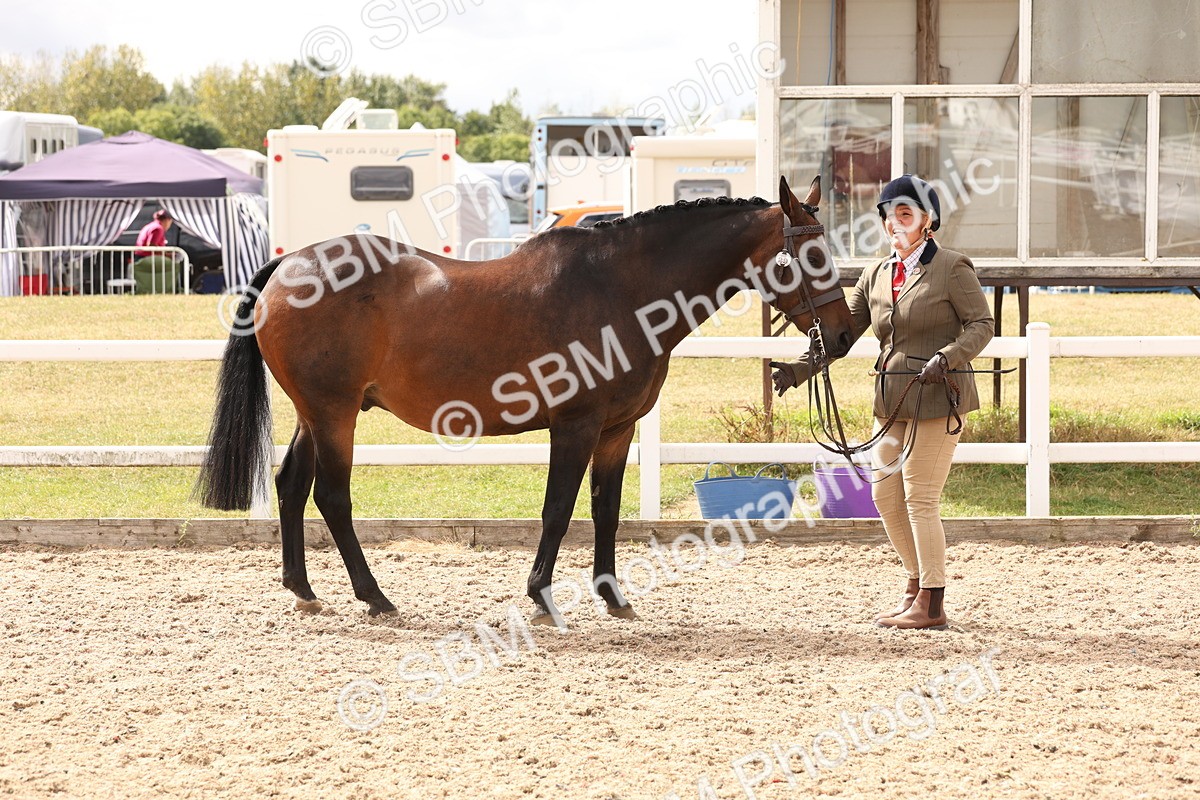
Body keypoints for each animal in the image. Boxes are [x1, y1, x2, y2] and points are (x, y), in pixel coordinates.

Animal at [196, 175, 855, 624]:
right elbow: (558, 510)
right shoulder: (576, 425)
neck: (621, 289)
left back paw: (303, 590)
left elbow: (606, 510)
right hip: (334, 414)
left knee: (290, 484)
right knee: (332, 497)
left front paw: (613, 596)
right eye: (810, 254)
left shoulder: (617, 430)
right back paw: (374, 596)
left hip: (318, 413)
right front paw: (541, 594)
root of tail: (289, 265)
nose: (844, 335)